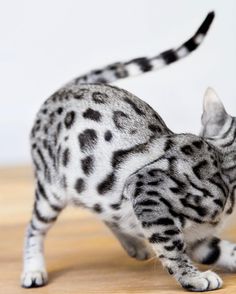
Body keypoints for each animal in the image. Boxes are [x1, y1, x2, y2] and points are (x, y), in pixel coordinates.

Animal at [20, 11, 236, 292]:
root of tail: (61, 91)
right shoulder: (148, 192)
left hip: (94, 186)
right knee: (34, 228)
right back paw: (33, 270)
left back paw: (133, 244)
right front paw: (194, 278)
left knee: (105, 212)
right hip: (52, 190)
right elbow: (172, 249)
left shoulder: (198, 237)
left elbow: (222, 250)